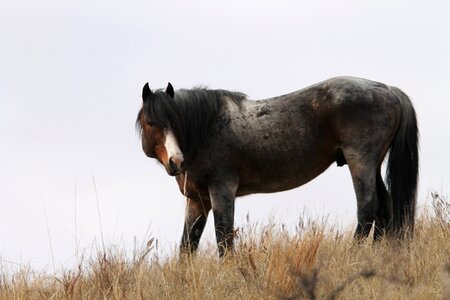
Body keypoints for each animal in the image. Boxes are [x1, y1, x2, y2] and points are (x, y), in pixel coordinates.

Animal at [136, 76, 418, 256]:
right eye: (151, 122)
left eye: (175, 121)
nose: (176, 161)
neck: (205, 131)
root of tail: (389, 90)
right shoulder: (197, 200)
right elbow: (187, 245)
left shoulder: (222, 190)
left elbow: (224, 238)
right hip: (373, 164)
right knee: (385, 208)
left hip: (360, 160)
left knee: (368, 209)